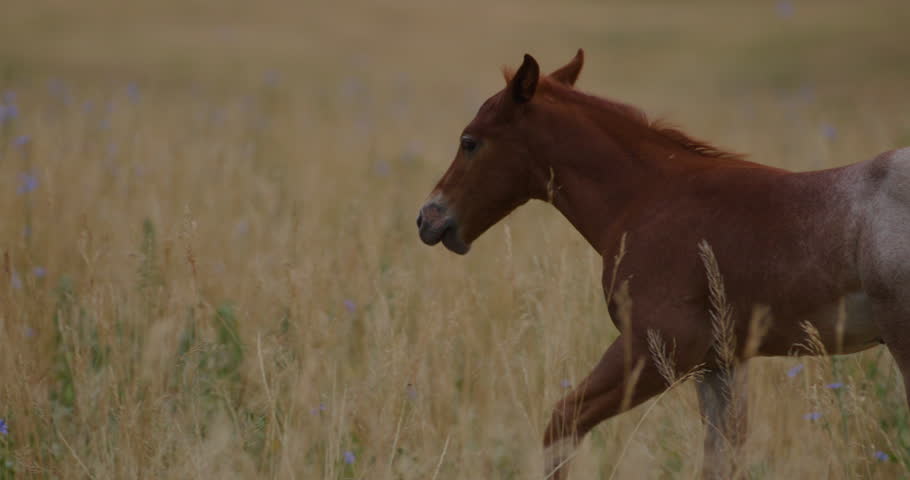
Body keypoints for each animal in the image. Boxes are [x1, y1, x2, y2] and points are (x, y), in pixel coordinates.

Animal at [416, 49, 910, 479]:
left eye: (469, 142)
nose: (429, 218)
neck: (649, 197)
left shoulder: (659, 347)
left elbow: (562, 422)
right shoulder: (719, 362)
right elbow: (721, 459)